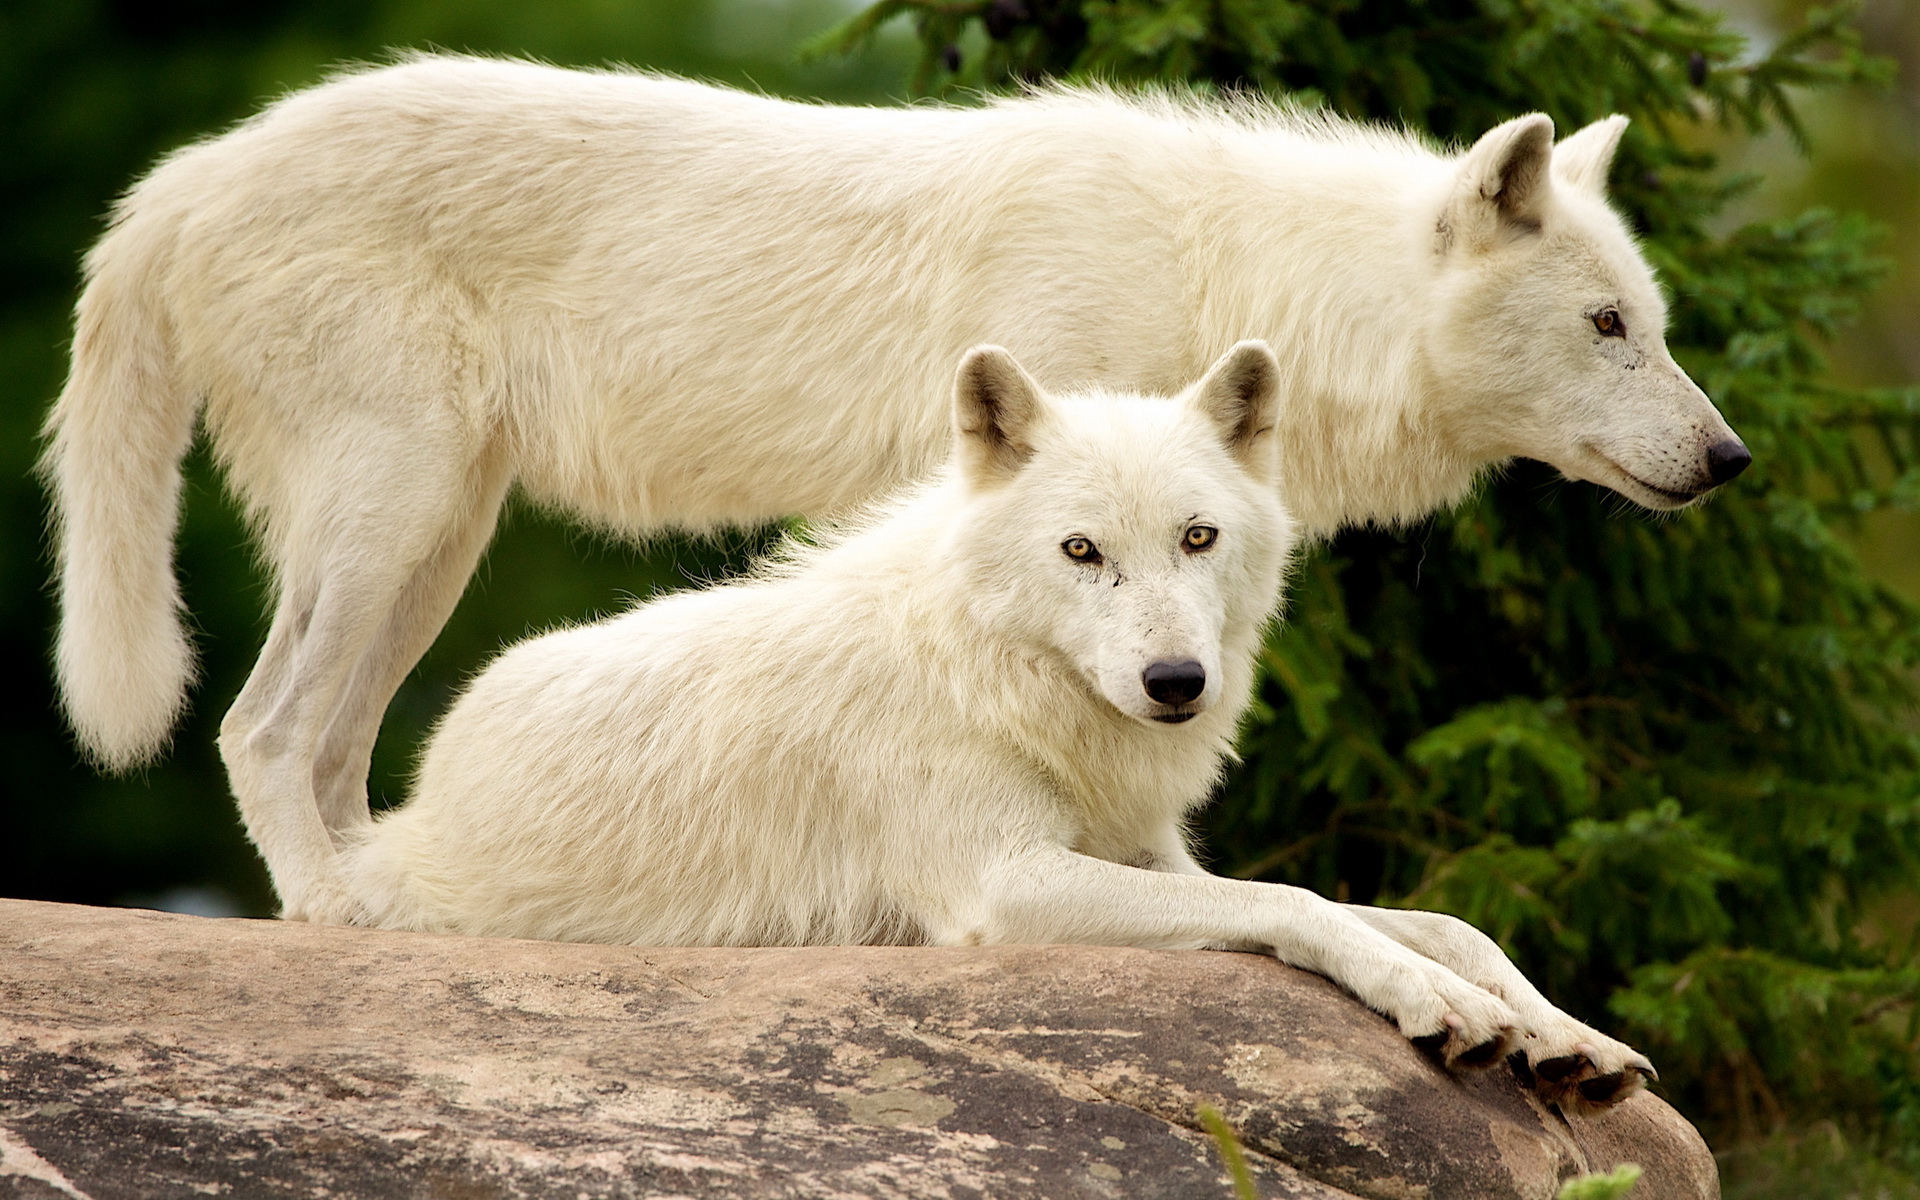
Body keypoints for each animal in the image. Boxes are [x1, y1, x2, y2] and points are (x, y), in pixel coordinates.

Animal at [45, 56, 1758, 936]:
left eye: (1656, 325)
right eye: (1610, 325)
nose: (1733, 460)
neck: (1230, 266)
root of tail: (178, 178)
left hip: (437, 540)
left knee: (327, 747)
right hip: (396, 516)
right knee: (259, 728)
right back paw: (347, 919)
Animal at [337, 343, 1658, 1105]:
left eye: (1198, 537)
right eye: (1081, 552)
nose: (1175, 681)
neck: (996, 672)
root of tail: (415, 798)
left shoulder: (1160, 861)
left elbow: (1441, 920)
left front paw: (1557, 1030)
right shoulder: (1004, 885)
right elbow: (1300, 902)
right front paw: (1447, 1010)